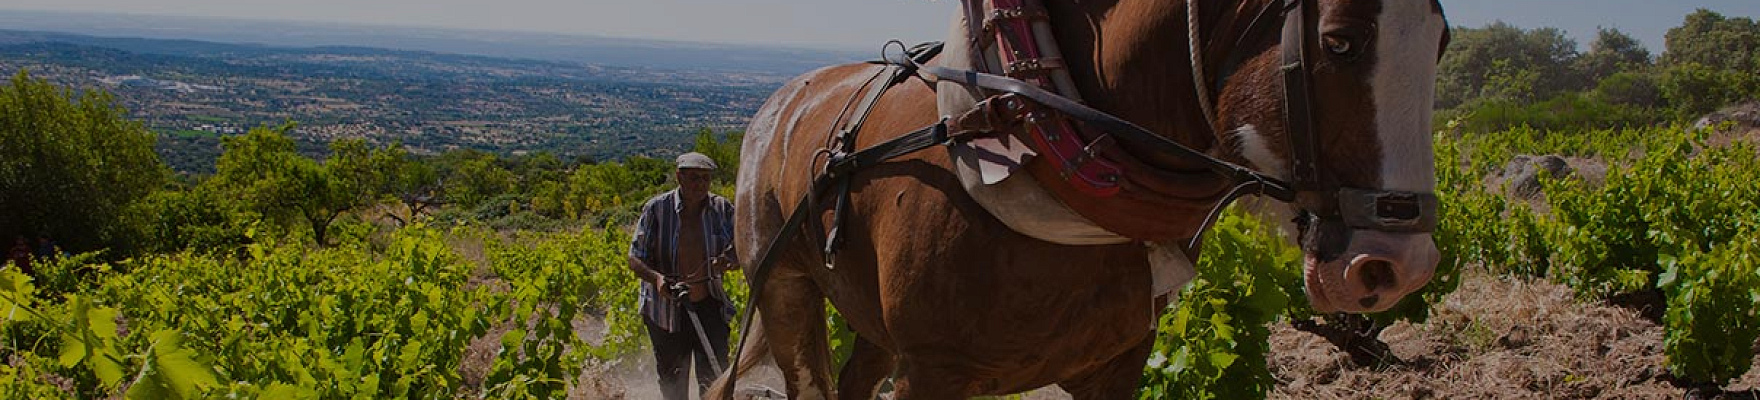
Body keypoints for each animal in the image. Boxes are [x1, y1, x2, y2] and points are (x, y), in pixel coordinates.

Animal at [711, 0, 1443, 398]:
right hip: (783, 289)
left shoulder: (1116, 368)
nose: (1399, 266)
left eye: (1440, 45)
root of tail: (783, 101)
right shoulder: (932, 374)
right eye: (1339, 41)